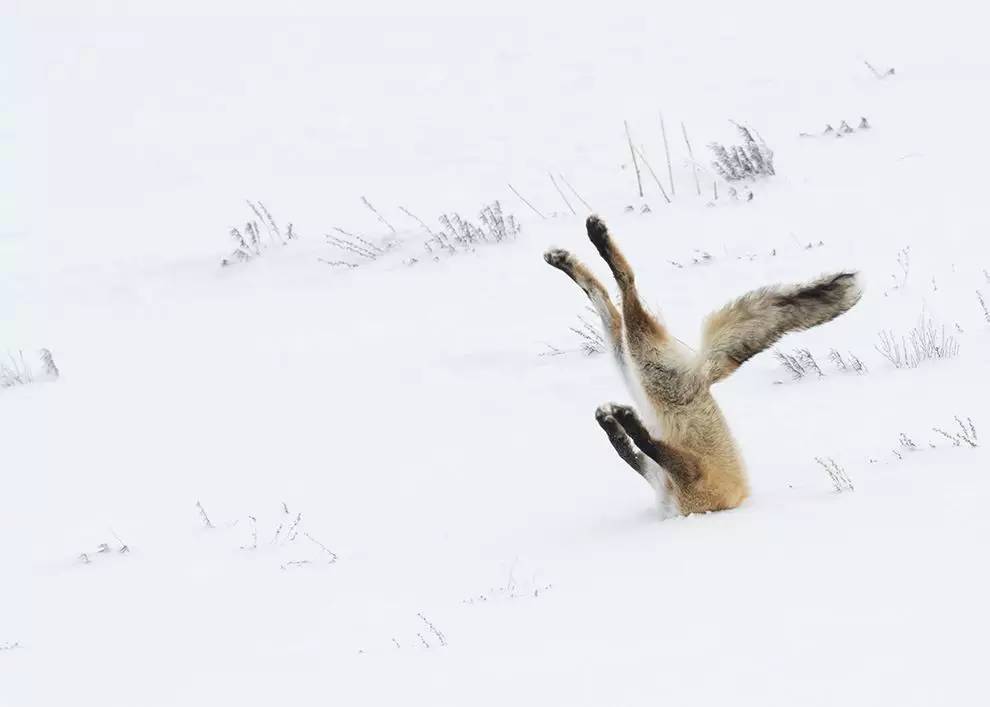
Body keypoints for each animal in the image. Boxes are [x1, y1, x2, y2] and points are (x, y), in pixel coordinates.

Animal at [548, 216, 864, 520]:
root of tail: (703, 373)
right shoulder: (662, 475)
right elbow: (627, 450)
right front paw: (612, 422)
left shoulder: (690, 476)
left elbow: (642, 445)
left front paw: (624, 421)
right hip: (630, 362)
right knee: (606, 301)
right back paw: (566, 259)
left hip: (643, 363)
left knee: (626, 288)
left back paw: (597, 240)